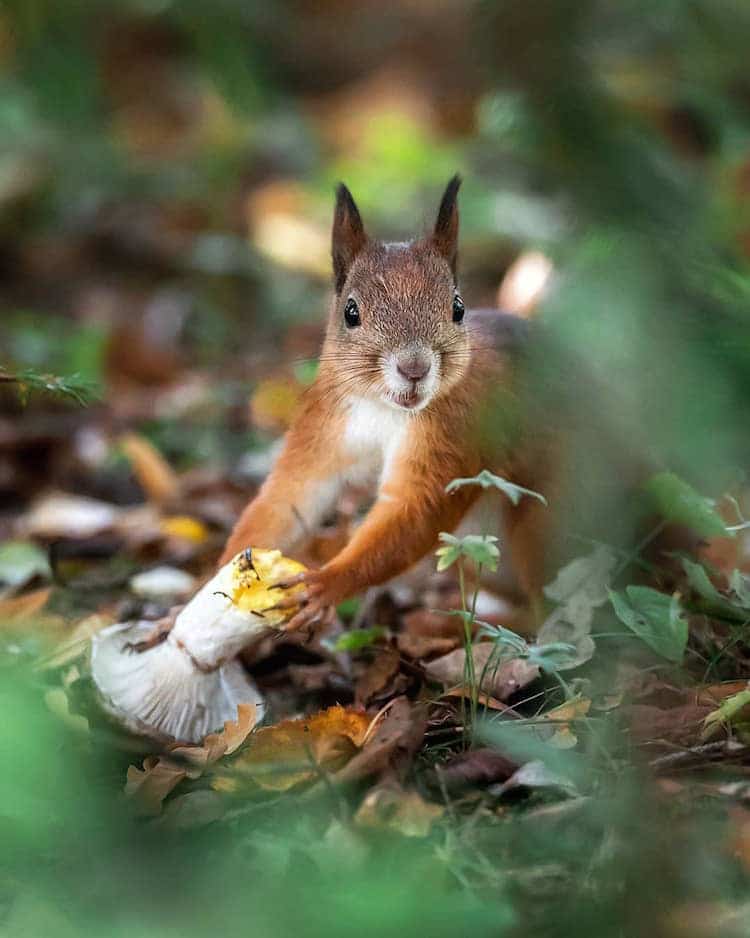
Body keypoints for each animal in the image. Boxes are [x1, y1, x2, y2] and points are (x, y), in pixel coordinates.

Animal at [217, 176, 560, 628]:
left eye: (458, 307)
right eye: (351, 312)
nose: (414, 368)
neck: (383, 409)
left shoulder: (460, 435)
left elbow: (414, 514)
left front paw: (326, 583)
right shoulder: (323, 426)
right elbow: (288, 498)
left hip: (546, 524)